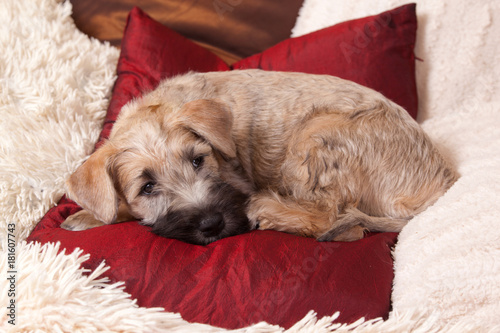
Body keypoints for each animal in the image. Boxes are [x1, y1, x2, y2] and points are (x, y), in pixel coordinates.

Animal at [61, 69, 458, 244]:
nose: (213, 223)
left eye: (197, 160)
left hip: (316, 134)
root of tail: (439, 185)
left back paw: (267, 209)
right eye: (147, 188)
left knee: (333, 218)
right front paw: (89, 215)